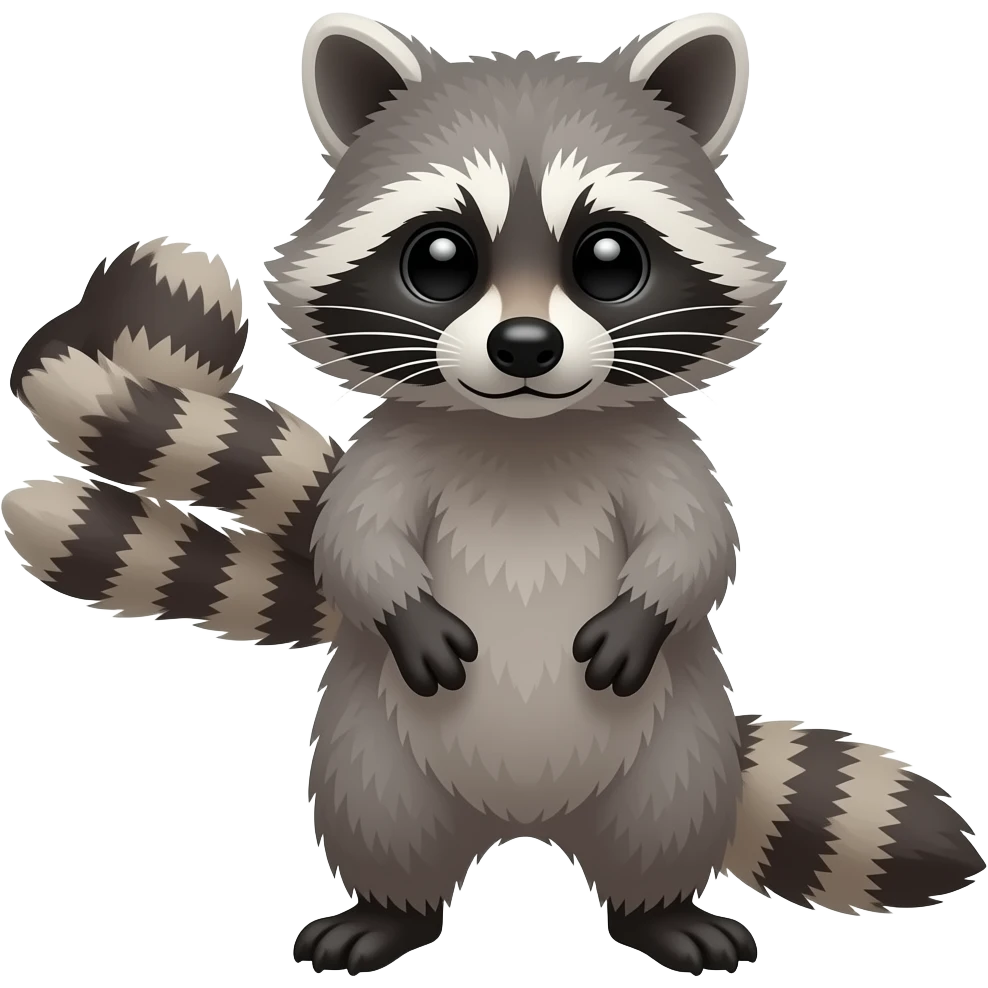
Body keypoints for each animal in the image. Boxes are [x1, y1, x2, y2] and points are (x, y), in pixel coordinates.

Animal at [3, 11, 984, 979]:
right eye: (441, 258)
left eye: (609, 257)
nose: (524, 347)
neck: (523, 433)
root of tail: (527, 821)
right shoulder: (396, 451)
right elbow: (355, 541)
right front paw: (402, 607)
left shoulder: (659, 447)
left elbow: (701, 540)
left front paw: (647, 608)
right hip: (370, 745)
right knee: (379, 820)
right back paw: (389, 912)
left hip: (678, 747)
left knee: (665, 824)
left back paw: (661, 912)